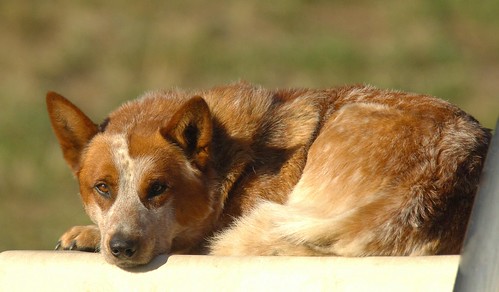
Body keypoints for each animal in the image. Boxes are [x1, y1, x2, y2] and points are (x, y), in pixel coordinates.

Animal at [47, 81, 492, 266]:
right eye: (102, 187)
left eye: (158, 188)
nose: (121, 247)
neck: (233, 162)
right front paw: (89, 234)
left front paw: (89, 235)